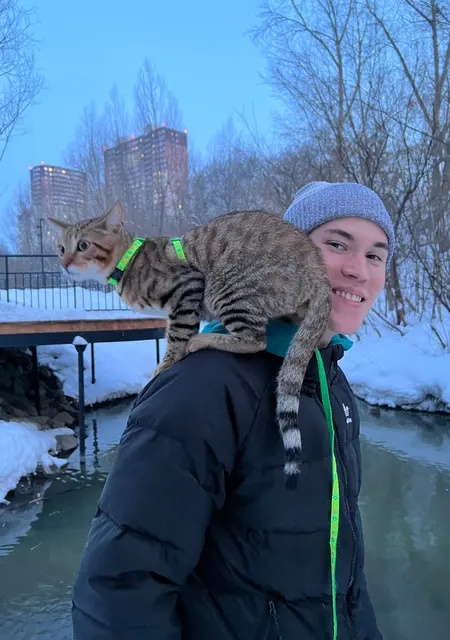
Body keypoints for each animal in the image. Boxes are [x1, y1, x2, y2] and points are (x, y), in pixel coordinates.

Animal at [48, 201, 331, 479]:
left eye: (83, 245)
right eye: (61, 248)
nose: (63, 263)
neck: (128, 261)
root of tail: (320, 273)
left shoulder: (187, 287)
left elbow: (177, 334)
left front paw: (166, 363)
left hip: (224, 285)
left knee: (255, 339)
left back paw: (206, 340)